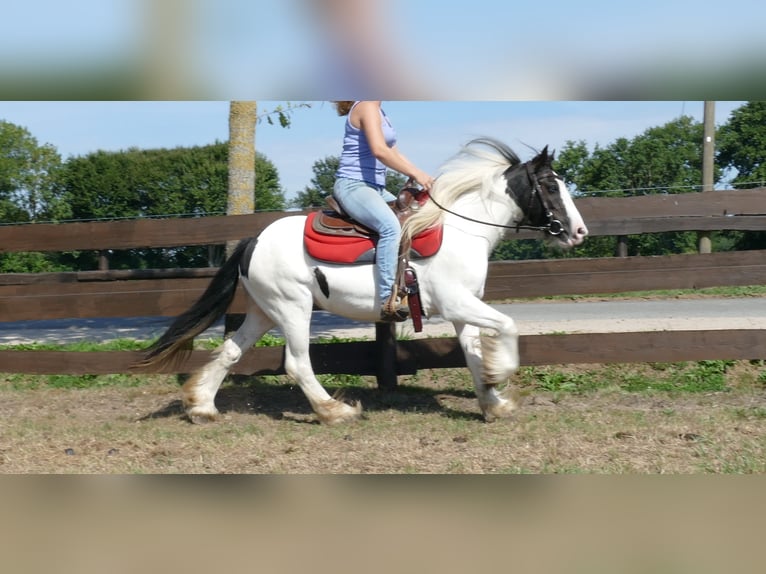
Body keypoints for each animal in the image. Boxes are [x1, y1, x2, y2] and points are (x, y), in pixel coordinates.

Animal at [138, 138, 592, 428]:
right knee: (297, 364)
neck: (462, 229)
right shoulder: (457, 304)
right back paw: (334, 412)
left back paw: (201, 408)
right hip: (293, 308)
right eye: (550, 185)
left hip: (264, 311)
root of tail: (254, 240)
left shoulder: (465, 310)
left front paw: (493, 401)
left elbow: (474, 355)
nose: (579, 232)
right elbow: (509, 327)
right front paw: (502, 377)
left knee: (232, 352)